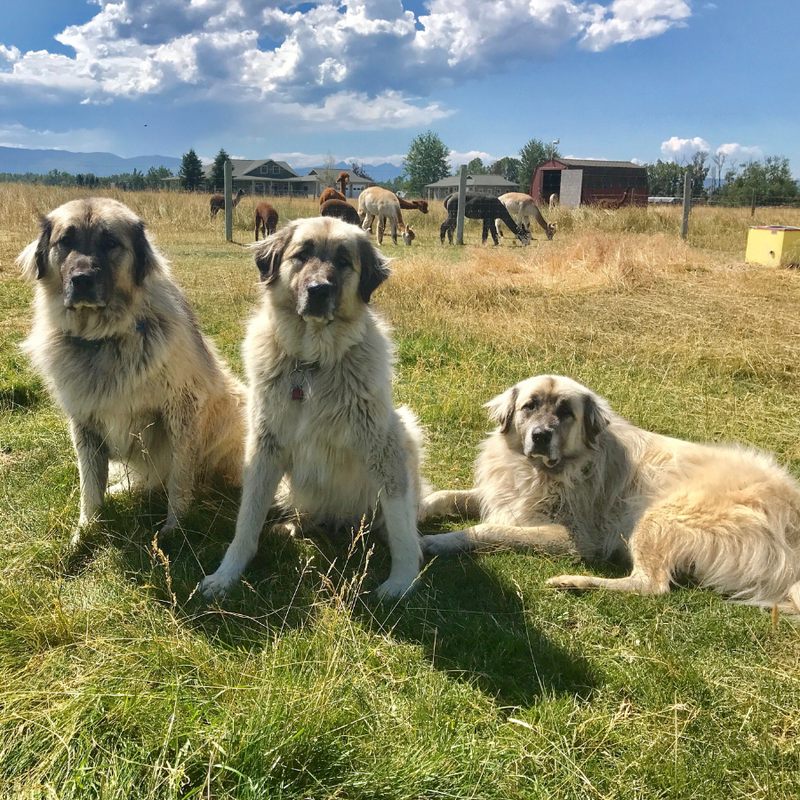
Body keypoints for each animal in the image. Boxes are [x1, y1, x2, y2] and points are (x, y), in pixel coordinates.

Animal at [19, 197, 247, 540]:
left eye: (110, 243)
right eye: (65, 242)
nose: (81, 280)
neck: (103, 337)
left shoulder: (181, 410)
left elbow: (180, 477)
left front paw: (174, 527)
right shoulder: (84, 422)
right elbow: (90, 483)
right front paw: (85, 530)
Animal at [200, 216, 424, 596]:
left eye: (344, 261)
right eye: (302, 255)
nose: (319, 290)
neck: (312, 364)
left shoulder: (384, 445)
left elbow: (399, 522)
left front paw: (402, 580)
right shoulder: (264, 447)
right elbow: (247, 518)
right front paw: (227, 574)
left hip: (407, 431)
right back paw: (294, 525)